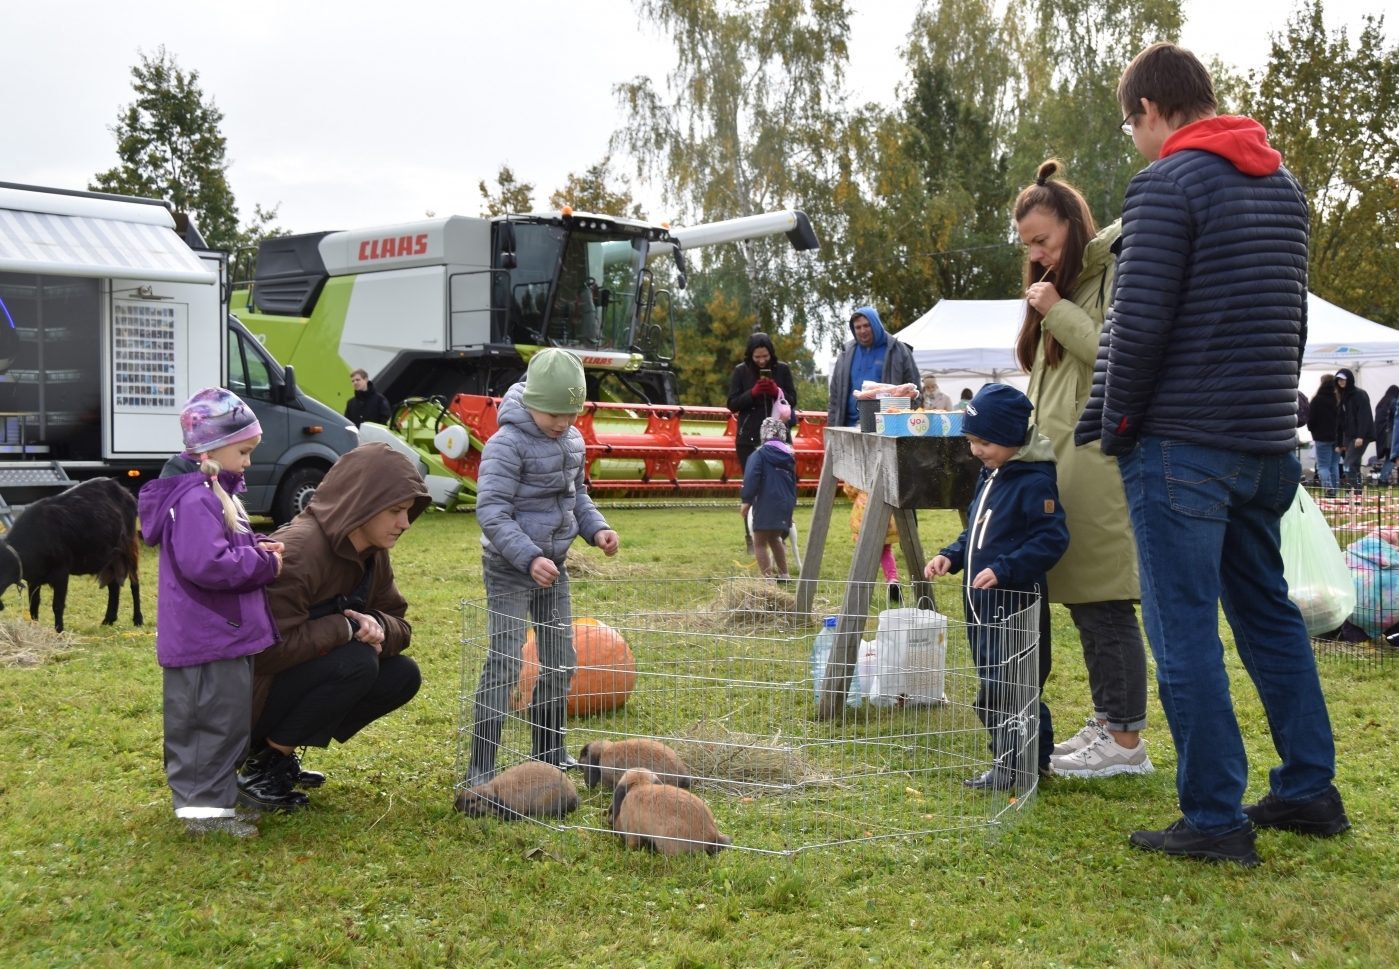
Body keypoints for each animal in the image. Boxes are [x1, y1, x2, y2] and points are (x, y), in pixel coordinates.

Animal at [0, 478, 142, 634]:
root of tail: (125, 492)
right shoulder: (34, 578)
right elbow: (34, 603)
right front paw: (34, 627)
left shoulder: (61, 572)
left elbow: (57, 605)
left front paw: (59, 632)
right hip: (110, 558)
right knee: (114, 585)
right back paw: (108, 620)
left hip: (129, 546)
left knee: (134, 582)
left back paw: (138, 619)